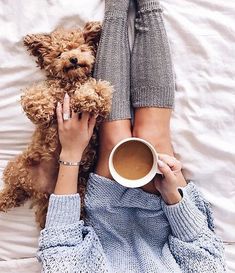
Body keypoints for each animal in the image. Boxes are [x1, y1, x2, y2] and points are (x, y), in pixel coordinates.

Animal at [0, 21, 113, 227]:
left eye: (80, 48)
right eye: (59, 54)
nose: (74, 59)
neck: (70, 82)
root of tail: (40, 191)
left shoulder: (100, 109)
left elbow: (99, 89)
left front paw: (83, 98)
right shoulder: (46, 90)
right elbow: (33, 95)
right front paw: (43, 110)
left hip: (79, 191)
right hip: (17, 168)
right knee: (12, 192)